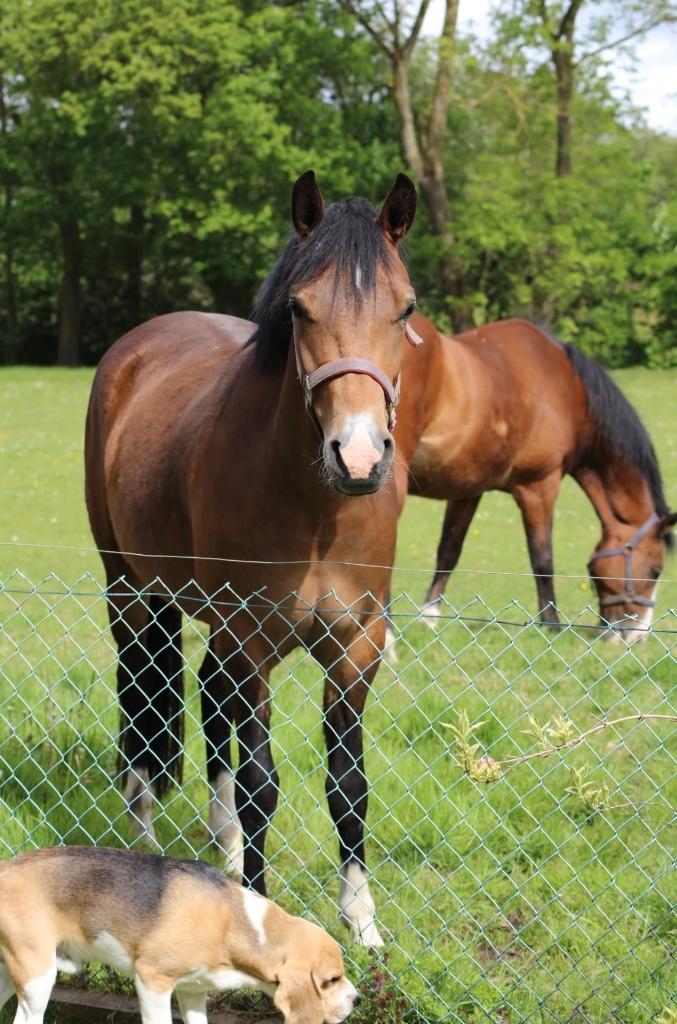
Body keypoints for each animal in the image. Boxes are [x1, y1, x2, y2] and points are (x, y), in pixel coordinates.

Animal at [84, 171, 418, 947]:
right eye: (299, 308)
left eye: (406, 307)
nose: (359, 457)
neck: (317, 505)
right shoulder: (252, 639)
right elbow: (262, 780)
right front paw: (264, 915)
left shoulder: (356, 644)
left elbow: (348, 784)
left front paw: (361, 921)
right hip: (132, 591)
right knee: (143, 693)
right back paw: (145, 831)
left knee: (208, 700)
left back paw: (227, 848)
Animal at [394, 314, 675, 642]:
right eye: (655, 570)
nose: (638, 636)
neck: (567, 389)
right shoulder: (540, 486)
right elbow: (542, 558)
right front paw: (551, 623)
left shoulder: (467, 491)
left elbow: (449, 550)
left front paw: (429, 616)